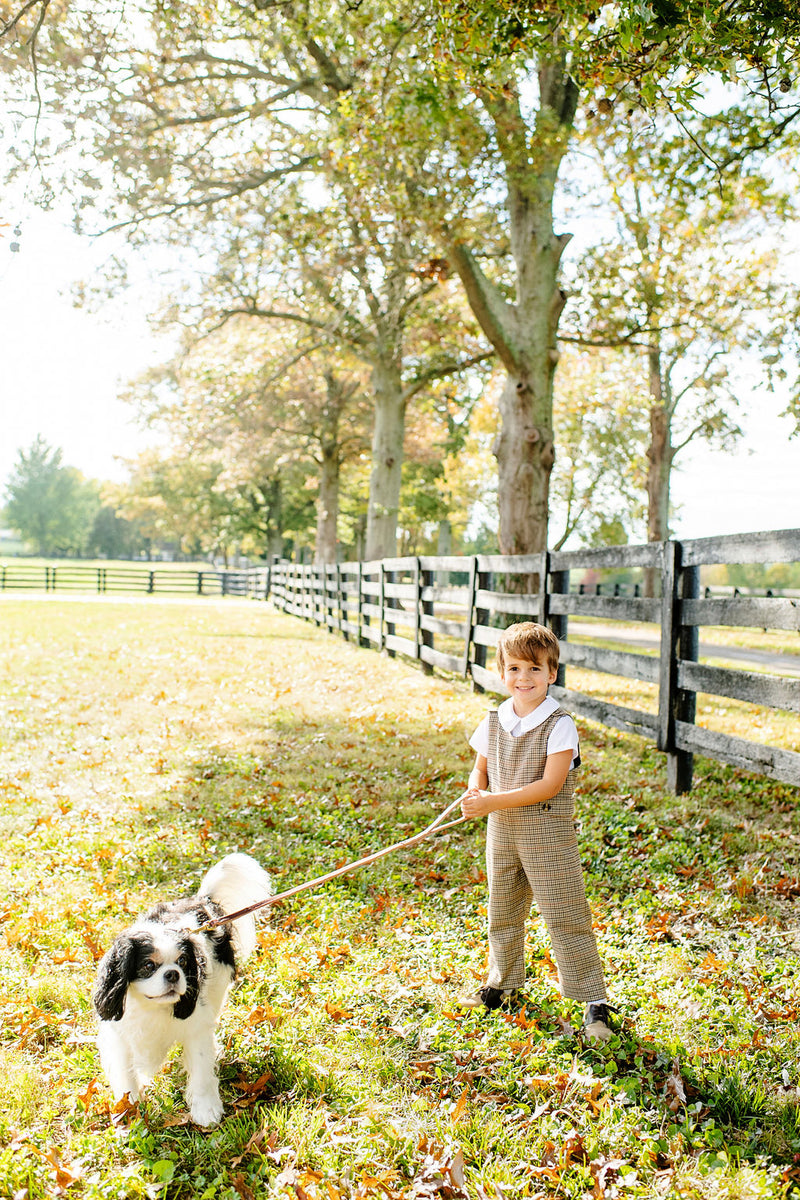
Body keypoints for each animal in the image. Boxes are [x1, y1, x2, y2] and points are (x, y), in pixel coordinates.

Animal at [94, 854, 272, 1123]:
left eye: (183, 962)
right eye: (148, 965)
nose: (173, 973)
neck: (152, 1007)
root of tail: (202, 900)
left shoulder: (196, 1029)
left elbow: (201, 1071)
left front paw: (206, 1110)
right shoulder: (120, 1037)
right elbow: (126, 1076)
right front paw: (129, 1109)